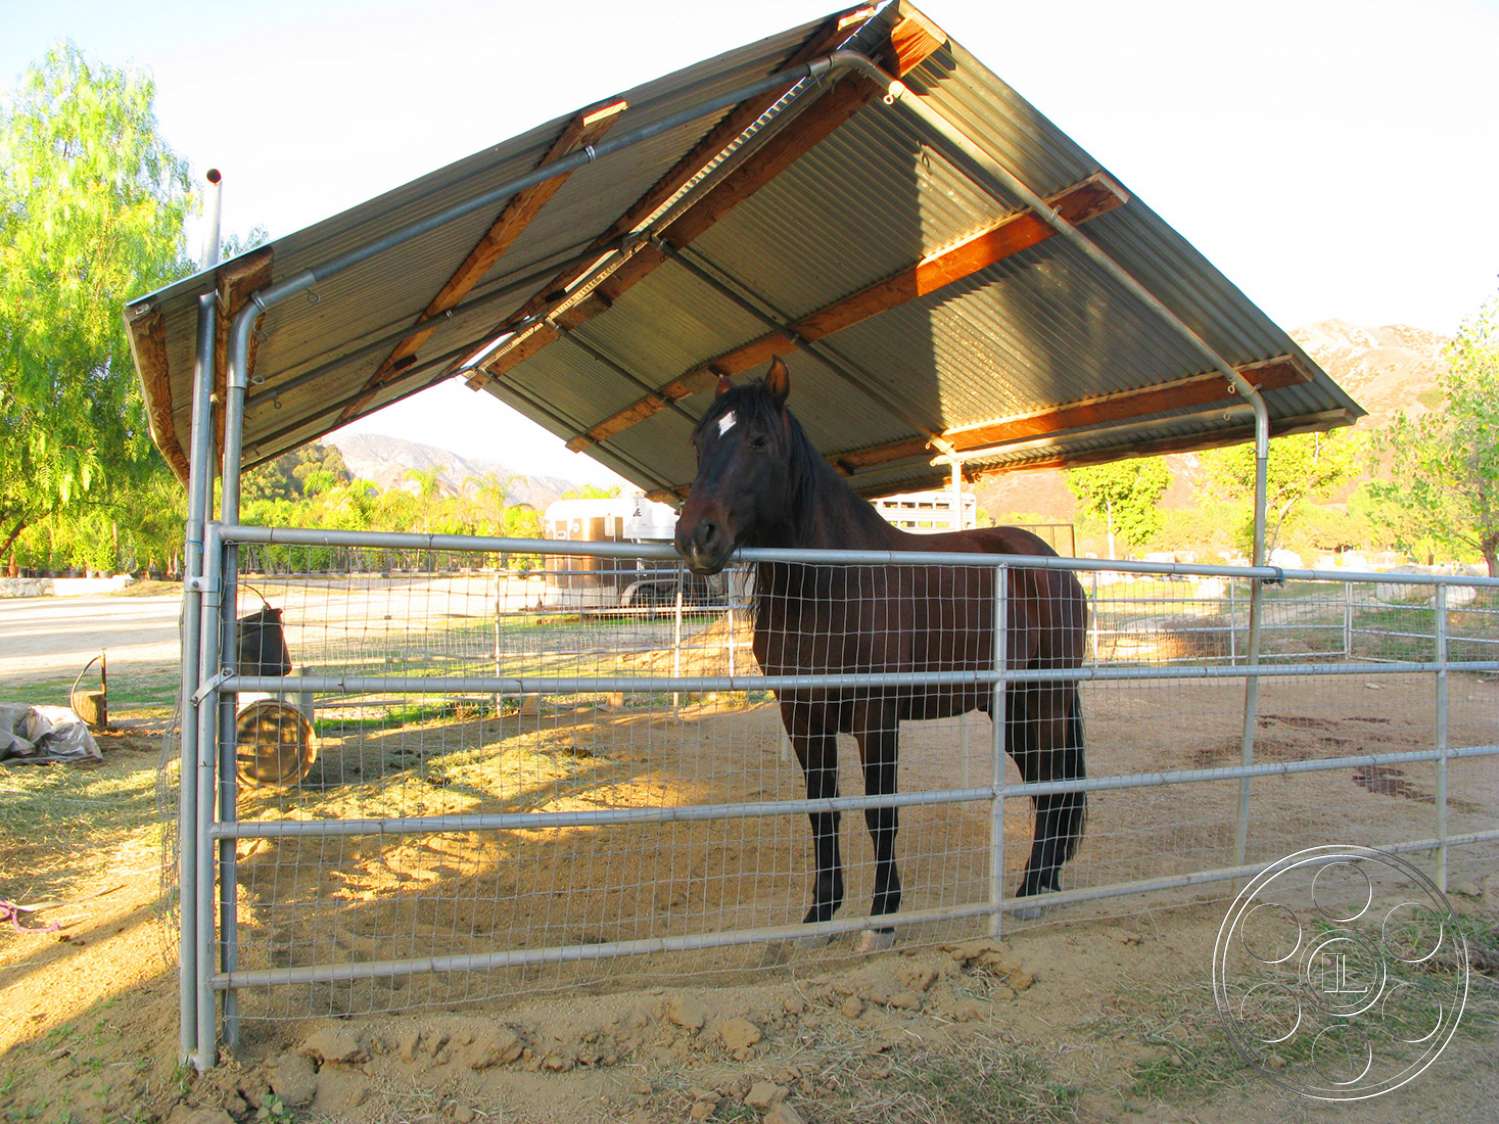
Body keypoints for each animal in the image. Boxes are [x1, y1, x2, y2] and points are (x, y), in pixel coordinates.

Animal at [673, 357, 1088, 948]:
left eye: (758, 439)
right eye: (700, 440)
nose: (695, 537)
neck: (831, 588)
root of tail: (1053, 565)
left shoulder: (877, 716)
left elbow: (880, 812)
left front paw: (882, 918)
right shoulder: (802, 716)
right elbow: (821, 812)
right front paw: (820, 915)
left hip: (1048, 697)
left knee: (1054, 785)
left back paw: (1032, 893)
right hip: (1010, 707)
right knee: (1042, 784)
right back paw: (1042, 884)